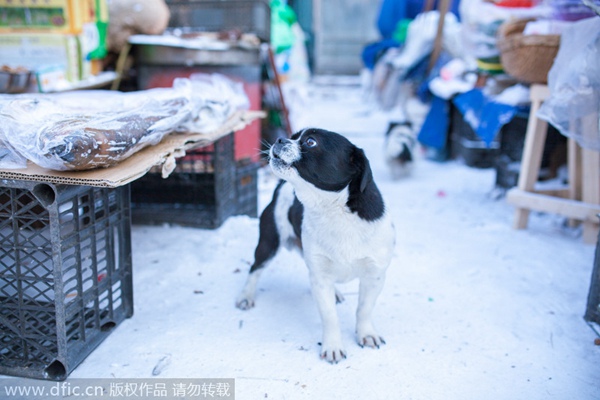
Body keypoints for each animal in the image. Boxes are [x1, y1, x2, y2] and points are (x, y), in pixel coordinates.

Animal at [237, 127, 396, 362]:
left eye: (311, 142)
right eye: (294, 137)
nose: (280, 139)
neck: (334, 211)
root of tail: (280, 187)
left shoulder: (374, 276)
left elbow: (364, 309)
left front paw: (366, 333)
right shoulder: (320, 277)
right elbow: (330, 316)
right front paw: (333, 346)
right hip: (268, 243)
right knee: (255, 269)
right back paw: (246, 296)